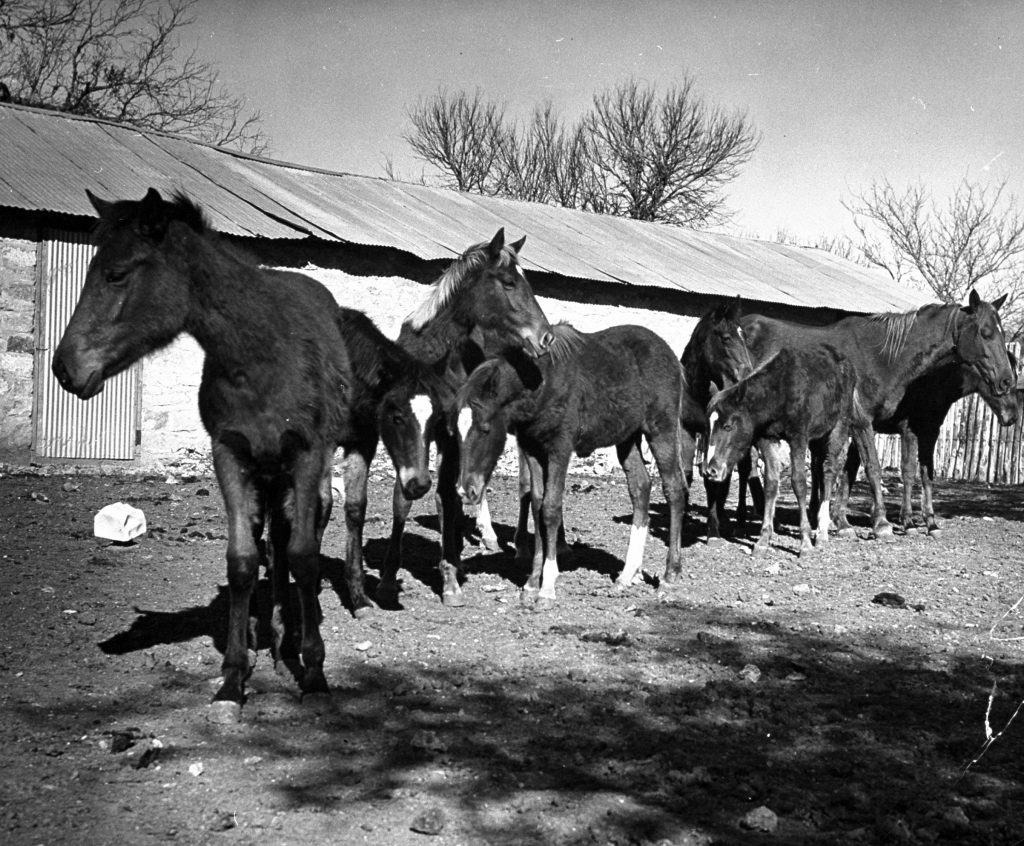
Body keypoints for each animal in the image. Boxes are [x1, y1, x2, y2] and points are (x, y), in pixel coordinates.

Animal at [50, 189, 432, 712]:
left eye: (117, 273)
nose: (64, 367)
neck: (262, 357)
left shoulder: (312, 455)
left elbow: (306, 553)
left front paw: (313, 667)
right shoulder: (230, 457)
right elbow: (244, 559)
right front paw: (234, 675)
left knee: (294, 537)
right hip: (266, 472)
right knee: (269, 538)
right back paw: (265, 633)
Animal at [374, 227, 557, 602]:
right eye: (509, 283)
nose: (545, 337)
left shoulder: (449, 435)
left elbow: (447, 495)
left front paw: (450, 578)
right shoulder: (410, 430)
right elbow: (406, 498)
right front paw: (387, 576)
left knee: (523, 486)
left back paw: (513, 545)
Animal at [456, 319, 688, 602]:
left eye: (486, 428)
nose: (466, 490)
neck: (541, 384)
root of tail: (672, 357)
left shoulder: (559, 449)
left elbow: (551, 508)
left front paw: (546, 587)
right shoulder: (532, 449)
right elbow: (537, 504)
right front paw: (531, 583)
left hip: (661, 429)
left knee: (674, 489)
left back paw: (669, 576)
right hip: (628, 438)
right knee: (640, 488)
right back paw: (627, 574)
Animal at [704, 342, 880, 553]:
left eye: (728, 426)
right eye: (708, 425)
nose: (711, 470)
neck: (778, 392)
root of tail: (849, 365)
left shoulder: (798, 438)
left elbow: (799, 482)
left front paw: (805, 542)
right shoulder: (767, 439)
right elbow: (771, 483)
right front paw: (763, 540)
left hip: (839, 426)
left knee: (829, 470)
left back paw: (822, 532)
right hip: (818, 436)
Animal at [839, 350, 1015, 532]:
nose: (1012, 416)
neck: (931, 386)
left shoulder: (930, 433)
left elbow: (927, 473)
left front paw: (931, 522)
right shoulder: (908, 431)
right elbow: (908, 471)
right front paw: (908, 521)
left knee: (848, 470)